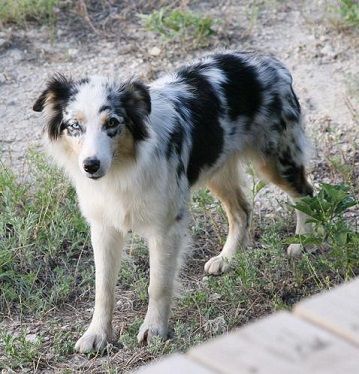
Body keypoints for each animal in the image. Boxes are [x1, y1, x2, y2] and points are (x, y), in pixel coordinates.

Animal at [33, 51, 316, 352]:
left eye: (112, 123)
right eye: (75, 126)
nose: (90, 165)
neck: (123, 169)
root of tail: (270, 60)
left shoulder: (165, 228)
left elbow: (158, 284)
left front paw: (155, 330)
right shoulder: (103, 227)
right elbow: (104, 288)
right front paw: (96, 334)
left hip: (275, 161)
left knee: (306, 193)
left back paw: (302, 242)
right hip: (216, 167)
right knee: (242, 211)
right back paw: (226, 259)